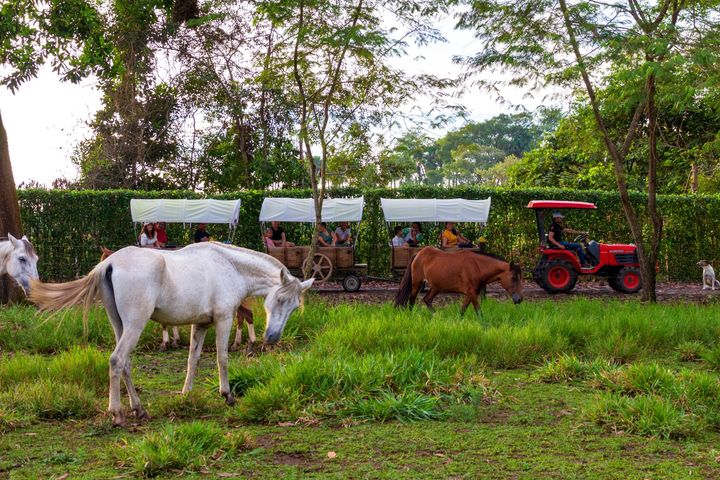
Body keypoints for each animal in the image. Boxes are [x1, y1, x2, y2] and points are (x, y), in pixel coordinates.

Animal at [100, 248, 258, 352]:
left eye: (103, 257)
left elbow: (165, 323)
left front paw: (168, 343)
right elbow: (168, 322)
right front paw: (173, 341)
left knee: (247, 315)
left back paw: (248, 343)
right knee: (243, 316)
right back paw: (238, 344)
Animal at [394, 248, 524, 316]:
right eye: (513, 277)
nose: (519, 299)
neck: (477, 266)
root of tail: (419, 253)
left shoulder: (470, 293)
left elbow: (462, 311)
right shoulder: (471, 293)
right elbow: (479, 312)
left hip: (436, 287)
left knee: (427, 299)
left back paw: (437, 316)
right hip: (417, 284)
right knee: (411, 301)